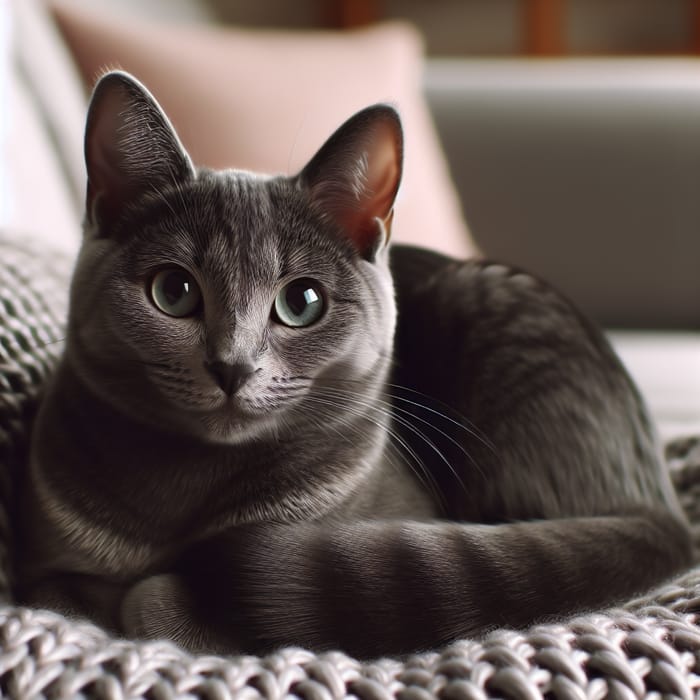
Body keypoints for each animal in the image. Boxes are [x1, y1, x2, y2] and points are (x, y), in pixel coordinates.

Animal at [16, 69, 688, 656]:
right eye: (173, 291)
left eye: (303, 302)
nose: (232, 366)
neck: (189, 490)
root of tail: (662, 505)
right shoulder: (44, 559)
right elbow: (60, 589)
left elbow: (157, 605)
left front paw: (159, 599)